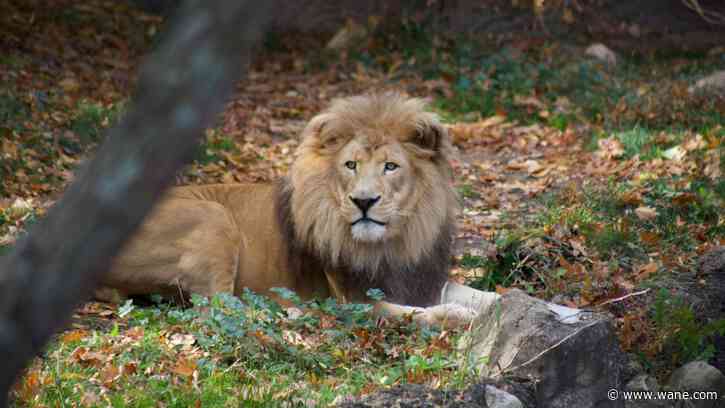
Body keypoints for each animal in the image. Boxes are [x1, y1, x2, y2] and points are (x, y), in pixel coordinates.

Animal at [99, 93, 497, 326]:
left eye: (390, 167)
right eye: (350, 165)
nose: (363, 201)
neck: (396, 240)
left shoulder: (420, 279)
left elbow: (480, 295)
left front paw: (496, 303)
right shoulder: (353, 300)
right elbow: (415, 314)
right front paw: (457, 315)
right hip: (214, 217)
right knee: (219, 307)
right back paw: (287, 311)